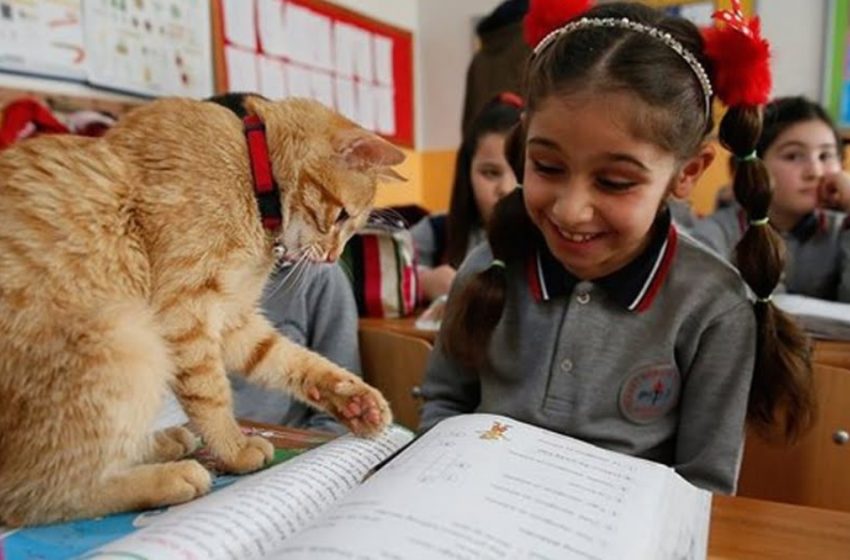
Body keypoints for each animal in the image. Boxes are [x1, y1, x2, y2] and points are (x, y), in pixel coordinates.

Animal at [0, 94, 402, 528]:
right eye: (342, 215)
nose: (330, 258)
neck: (253, 174)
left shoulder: (231, 320)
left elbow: (291, 360)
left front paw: (353, 399)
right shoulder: (184, 311)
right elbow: (211, 394)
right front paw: (234, 448)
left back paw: (162, 442)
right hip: (124, 338)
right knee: (38, 494)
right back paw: (167, 478)